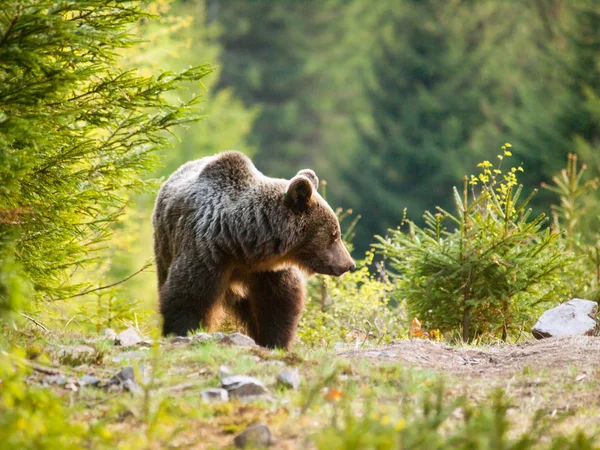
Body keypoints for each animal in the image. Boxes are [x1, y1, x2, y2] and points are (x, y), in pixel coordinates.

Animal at [152, 151, 354, 348]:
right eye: (334, 235)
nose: (349, 264)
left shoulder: (269, 270)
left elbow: (279, 303)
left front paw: (274, 341)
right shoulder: (206, 253)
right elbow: (188, 297)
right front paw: (183, 332)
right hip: (164, 246)